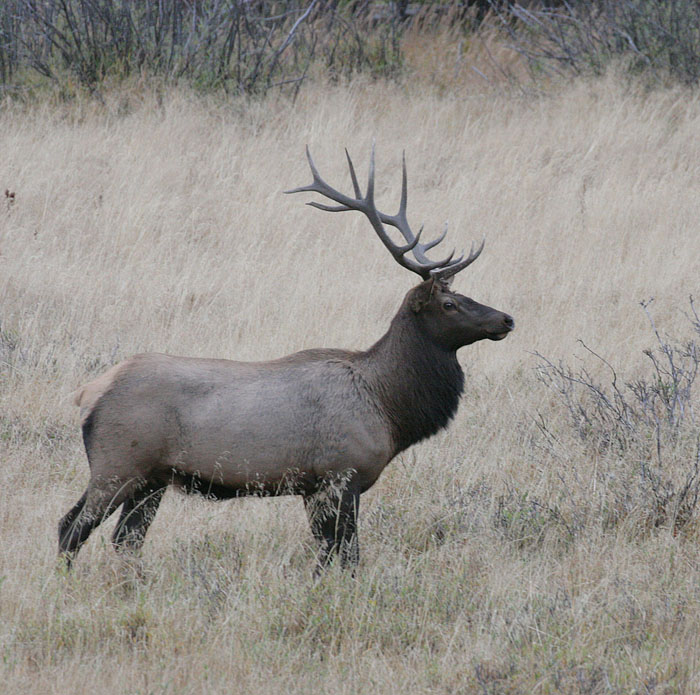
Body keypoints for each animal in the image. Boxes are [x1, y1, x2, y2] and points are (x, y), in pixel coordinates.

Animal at [58, 145, 516, 572]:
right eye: (450, 304)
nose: (506, 319)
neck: (389, 407)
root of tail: (88, 394)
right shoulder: (339, 476)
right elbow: (345, 556)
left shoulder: (314, 488)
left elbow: (328, 556)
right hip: (117, 465)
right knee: (71, 527)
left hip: (152, 479)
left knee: (126, 540)